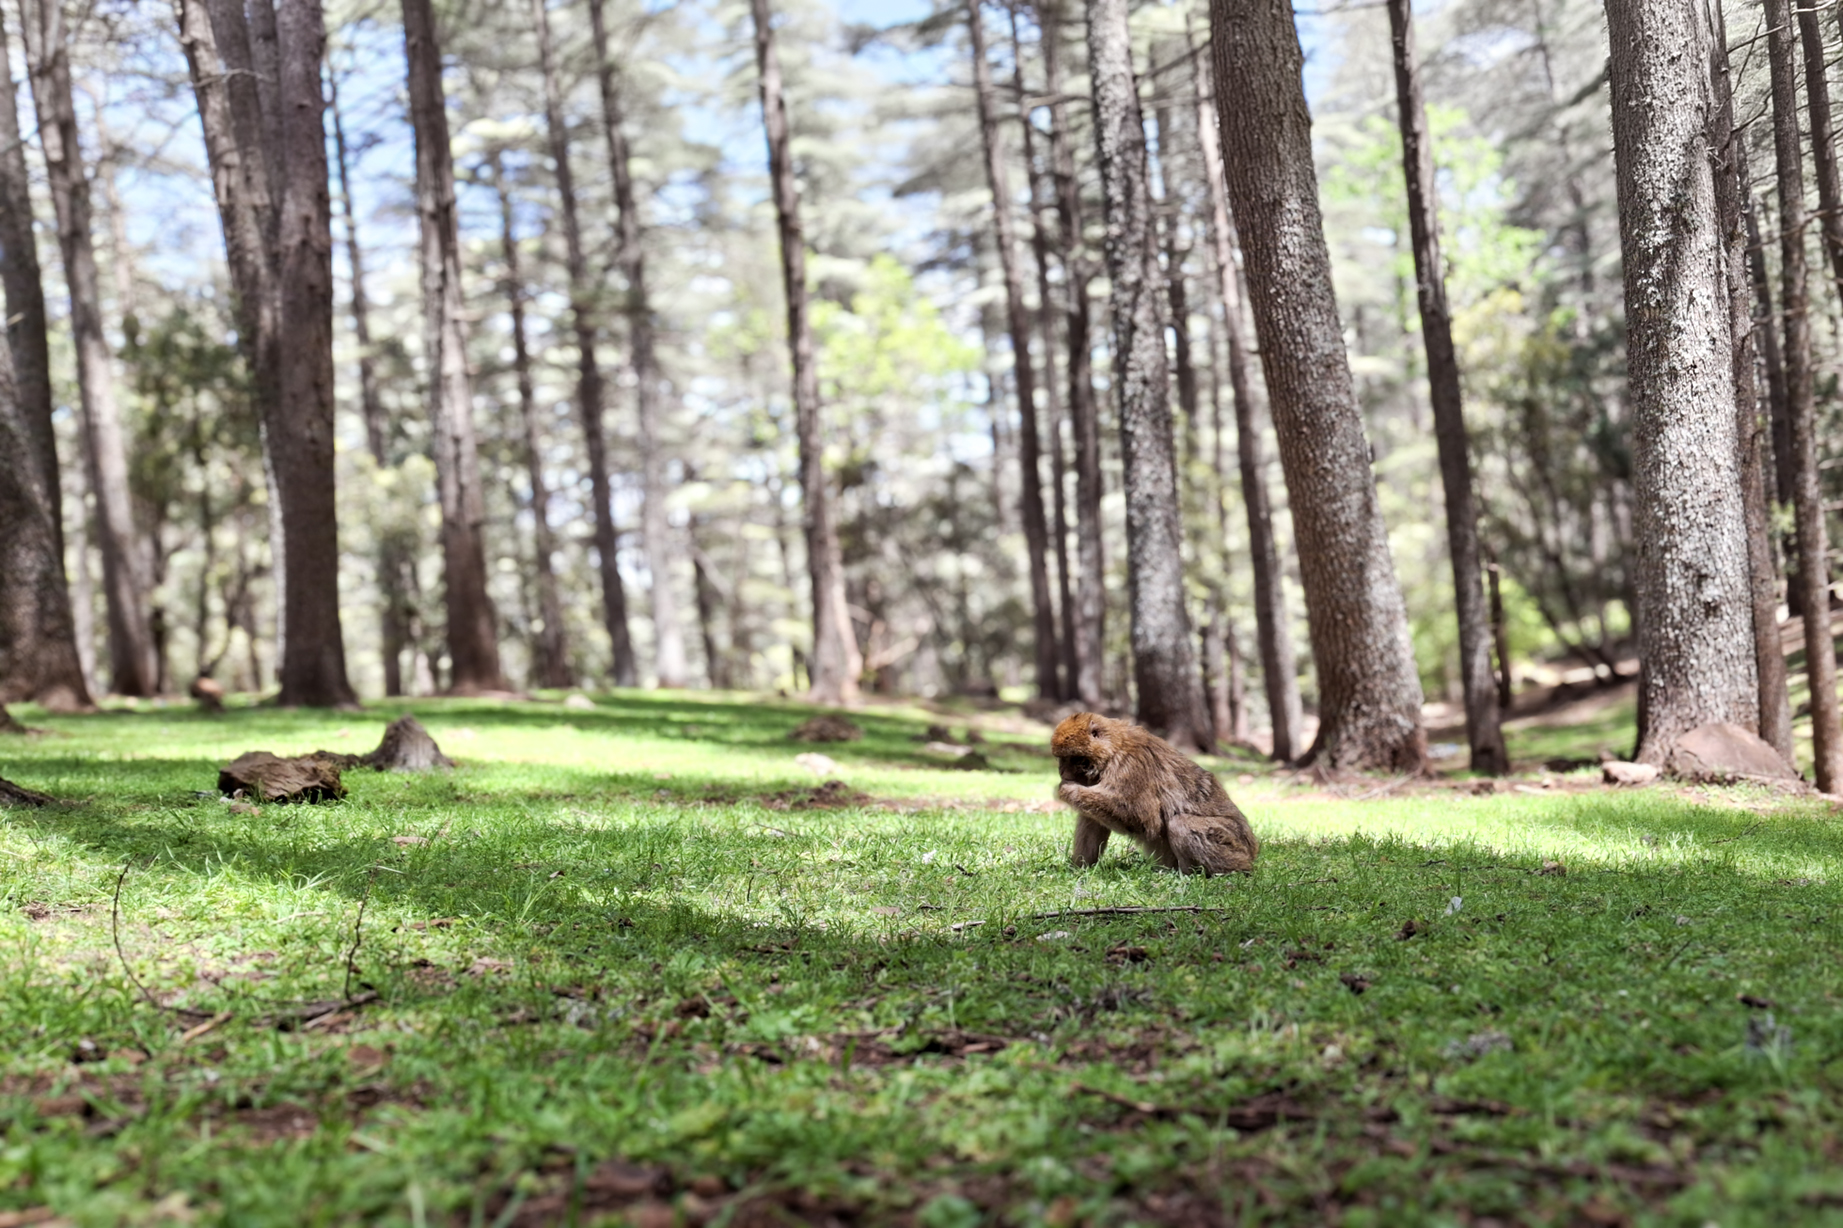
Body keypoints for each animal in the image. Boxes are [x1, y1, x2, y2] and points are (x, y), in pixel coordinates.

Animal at [1050, 712, 1258, 875]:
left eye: (1076, 759)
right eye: (1061, 759)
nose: (1063, 772)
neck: (1114, 748)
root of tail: (1253, 851)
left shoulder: (1131, 766)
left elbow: (1144, 818)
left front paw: (1066, 789)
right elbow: (1092, 818)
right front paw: (1079, 869)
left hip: (1235, 843)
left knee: (1181, 823)